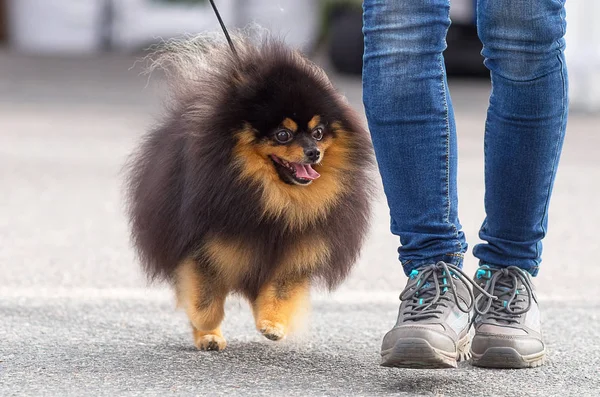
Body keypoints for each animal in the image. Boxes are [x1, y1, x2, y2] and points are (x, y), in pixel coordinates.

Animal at [125, 31, 372, 350]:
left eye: (318, 132)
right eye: (283, 134)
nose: (314, 152)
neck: (276, 200)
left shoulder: (296, 251)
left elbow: (280, 291)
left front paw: (273, 323)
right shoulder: (204, 245)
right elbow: (204, 299)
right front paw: (207, 327)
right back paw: (208, 337)